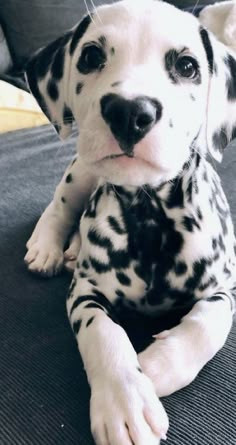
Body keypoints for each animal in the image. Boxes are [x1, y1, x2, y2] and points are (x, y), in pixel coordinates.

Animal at [23, 0, 236, 444]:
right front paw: (125, 401)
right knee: (60, 205)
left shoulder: (226, 288)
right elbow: (103, 333)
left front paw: (157, 368)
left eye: (187, 66)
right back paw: (48, 247)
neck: (150, 217)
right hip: (81, 171)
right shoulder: (85, 292)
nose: (130, 111)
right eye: (90, 56)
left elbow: (206, 325)